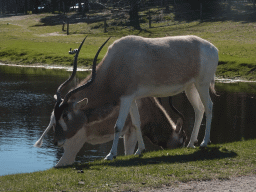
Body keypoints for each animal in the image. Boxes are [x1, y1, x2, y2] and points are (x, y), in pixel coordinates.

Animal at [33, 34, 218, 162]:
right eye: (54, 115)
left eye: (65, 115)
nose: (56, 142)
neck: (114, 65)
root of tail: (212, 48)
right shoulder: (133, 98)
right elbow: (136, 123)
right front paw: (139, 151)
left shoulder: (126, 97)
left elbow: (118, 126)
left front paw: (110, 155)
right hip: (190, 87)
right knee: (199, 109)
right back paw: (191, 143)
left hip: (202, 84)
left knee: (209, 107)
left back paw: (204, 142)